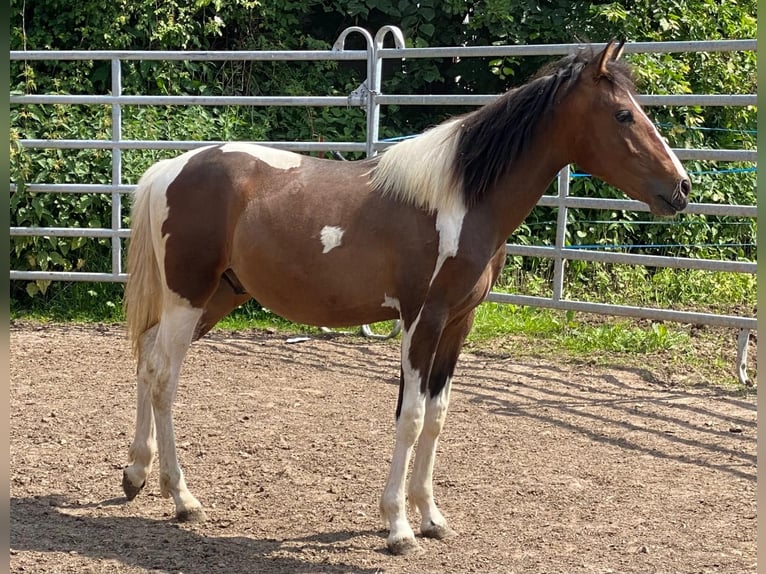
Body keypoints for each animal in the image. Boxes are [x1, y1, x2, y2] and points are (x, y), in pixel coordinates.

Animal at [123, 41, 692, 560]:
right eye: (623, 114)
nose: (681, 187)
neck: (459, 200)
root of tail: (171, 168)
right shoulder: (424, 319)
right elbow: (412, 416)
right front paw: (398, 527)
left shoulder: (458, 323)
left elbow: (437, 415)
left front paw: (432, 516)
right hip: (188, 298)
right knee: (165, 378)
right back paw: (182, 497)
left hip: (214, 298)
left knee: (147, 361)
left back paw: (135, 474)